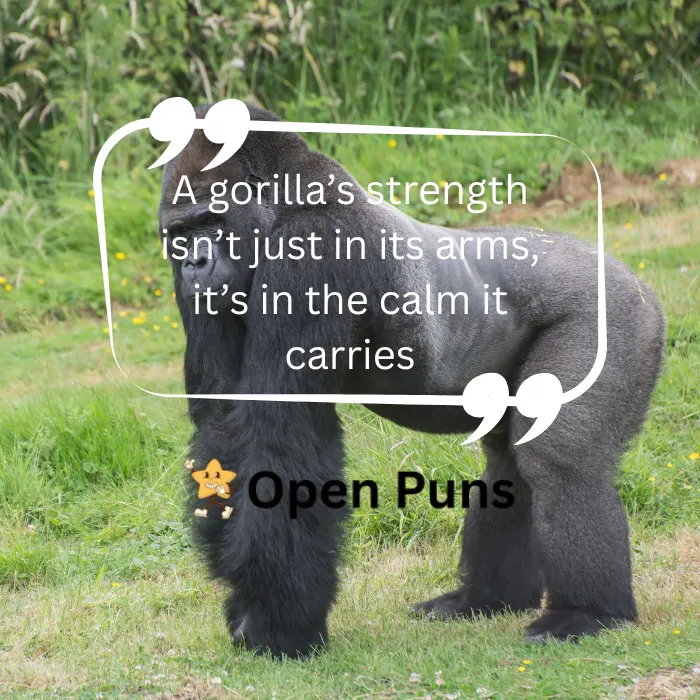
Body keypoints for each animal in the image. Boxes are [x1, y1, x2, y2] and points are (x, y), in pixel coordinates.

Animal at [158, 104, 665, 659]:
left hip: (614, 317)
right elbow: (222, 426)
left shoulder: (314, 253)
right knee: (508, 464)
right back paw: (486, 598)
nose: (194, 262)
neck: (284, 208)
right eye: (180, 233)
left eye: (212, 220)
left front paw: (279, 621)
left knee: (560, 462)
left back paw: (588, 612)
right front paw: (254, 604)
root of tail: (640, 283)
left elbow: (282, 435)